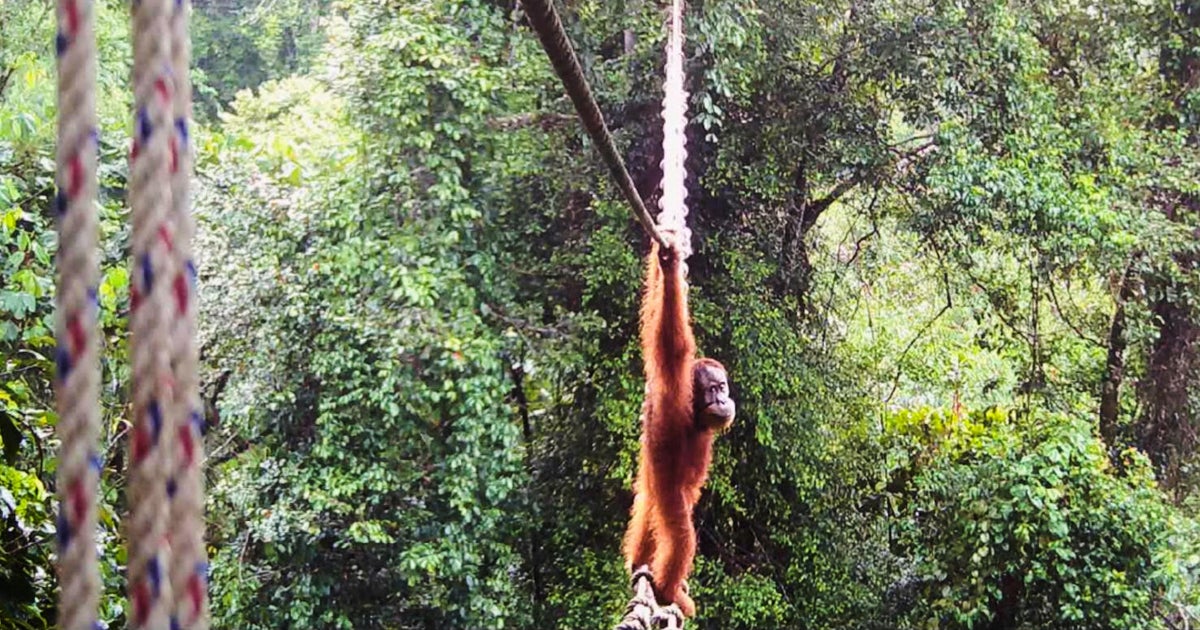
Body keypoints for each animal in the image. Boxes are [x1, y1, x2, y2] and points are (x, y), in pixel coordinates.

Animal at [621, 229, 735, 617]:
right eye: (713, 389)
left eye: (723, 387)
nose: (723, 399)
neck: (695, 416)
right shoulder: (674, 388)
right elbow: (671, 342)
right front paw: (670, 268)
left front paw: (664, 260)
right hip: (667, 492)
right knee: (681, 535)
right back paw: (668, 589)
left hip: (651, 486)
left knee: (646, 511)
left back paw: (639, 565)